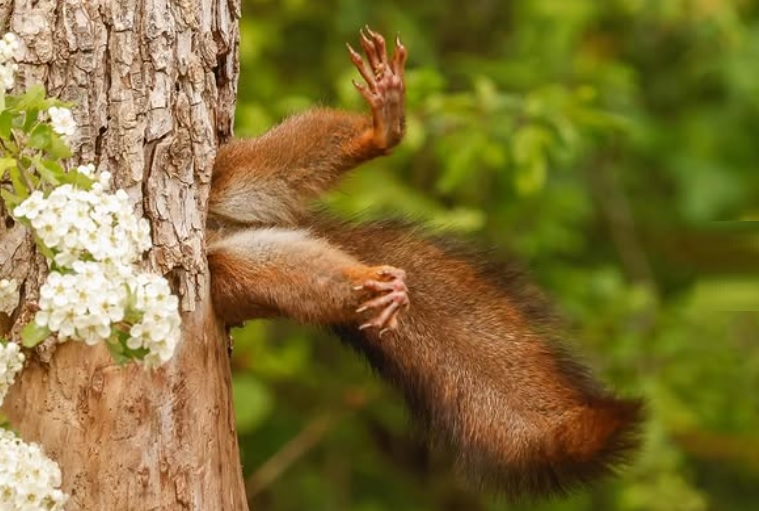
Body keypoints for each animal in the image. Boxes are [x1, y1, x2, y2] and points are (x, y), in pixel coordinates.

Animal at [205, 27, 644, 500]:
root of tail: (219, 229)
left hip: (229, 174)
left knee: (281, 159)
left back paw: (381, 130)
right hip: (233, 274)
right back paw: (373, 285)